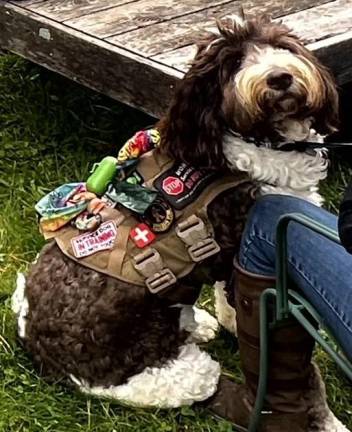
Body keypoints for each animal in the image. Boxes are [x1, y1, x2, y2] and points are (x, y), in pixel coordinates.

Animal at [11, 13, 346, 428]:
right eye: (233, 63)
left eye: (280, 46)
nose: (279, 77)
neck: (254, 140)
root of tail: (30, 337)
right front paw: (324, 422)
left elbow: (229, 303)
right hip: (163, 369)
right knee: (193, 384)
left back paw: (196, 323)